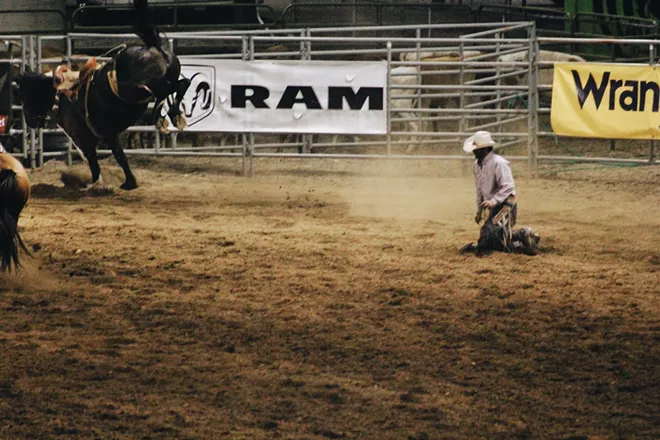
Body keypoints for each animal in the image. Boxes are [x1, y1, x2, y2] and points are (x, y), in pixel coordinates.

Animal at [16, 0, 191, 189]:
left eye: (24, 95)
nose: (29, 120)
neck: (59, 95)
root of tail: (153, 47)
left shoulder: (85, 138)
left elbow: (97, 163)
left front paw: (102, 185)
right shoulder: (109, 134)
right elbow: (119, 155)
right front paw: (128, 182)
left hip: (135, 88)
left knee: (163, 89)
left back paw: (161, 113)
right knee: (183, 83)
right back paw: (172, 115)